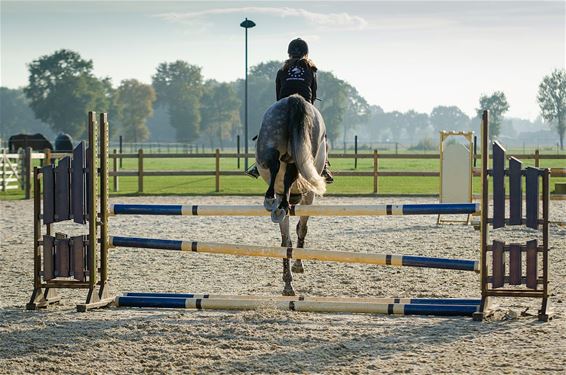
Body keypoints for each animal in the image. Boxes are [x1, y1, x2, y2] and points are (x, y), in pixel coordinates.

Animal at [256, 94, 330, 296]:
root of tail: (293, 100)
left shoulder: (285, 196)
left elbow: (286, 241)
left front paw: (288, 280)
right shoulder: (308, 197)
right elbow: (301, 229)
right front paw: (296, 267)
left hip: (271, 133)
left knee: (275, 161)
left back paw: (270, 199)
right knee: (290, 167)